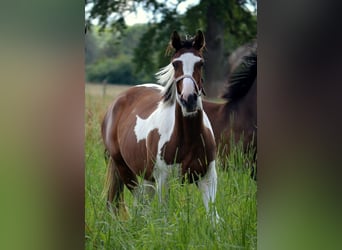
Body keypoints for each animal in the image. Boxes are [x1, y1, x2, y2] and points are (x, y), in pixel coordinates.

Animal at [102, 30, 219, 220]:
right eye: (175, 63)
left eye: (200, 63)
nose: (189, 99)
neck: (188, 137)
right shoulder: (164, 181)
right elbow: (165, 218)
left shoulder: (208, 178)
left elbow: (213, 218)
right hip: (125, 170)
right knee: (141, 206)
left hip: (147, 177)